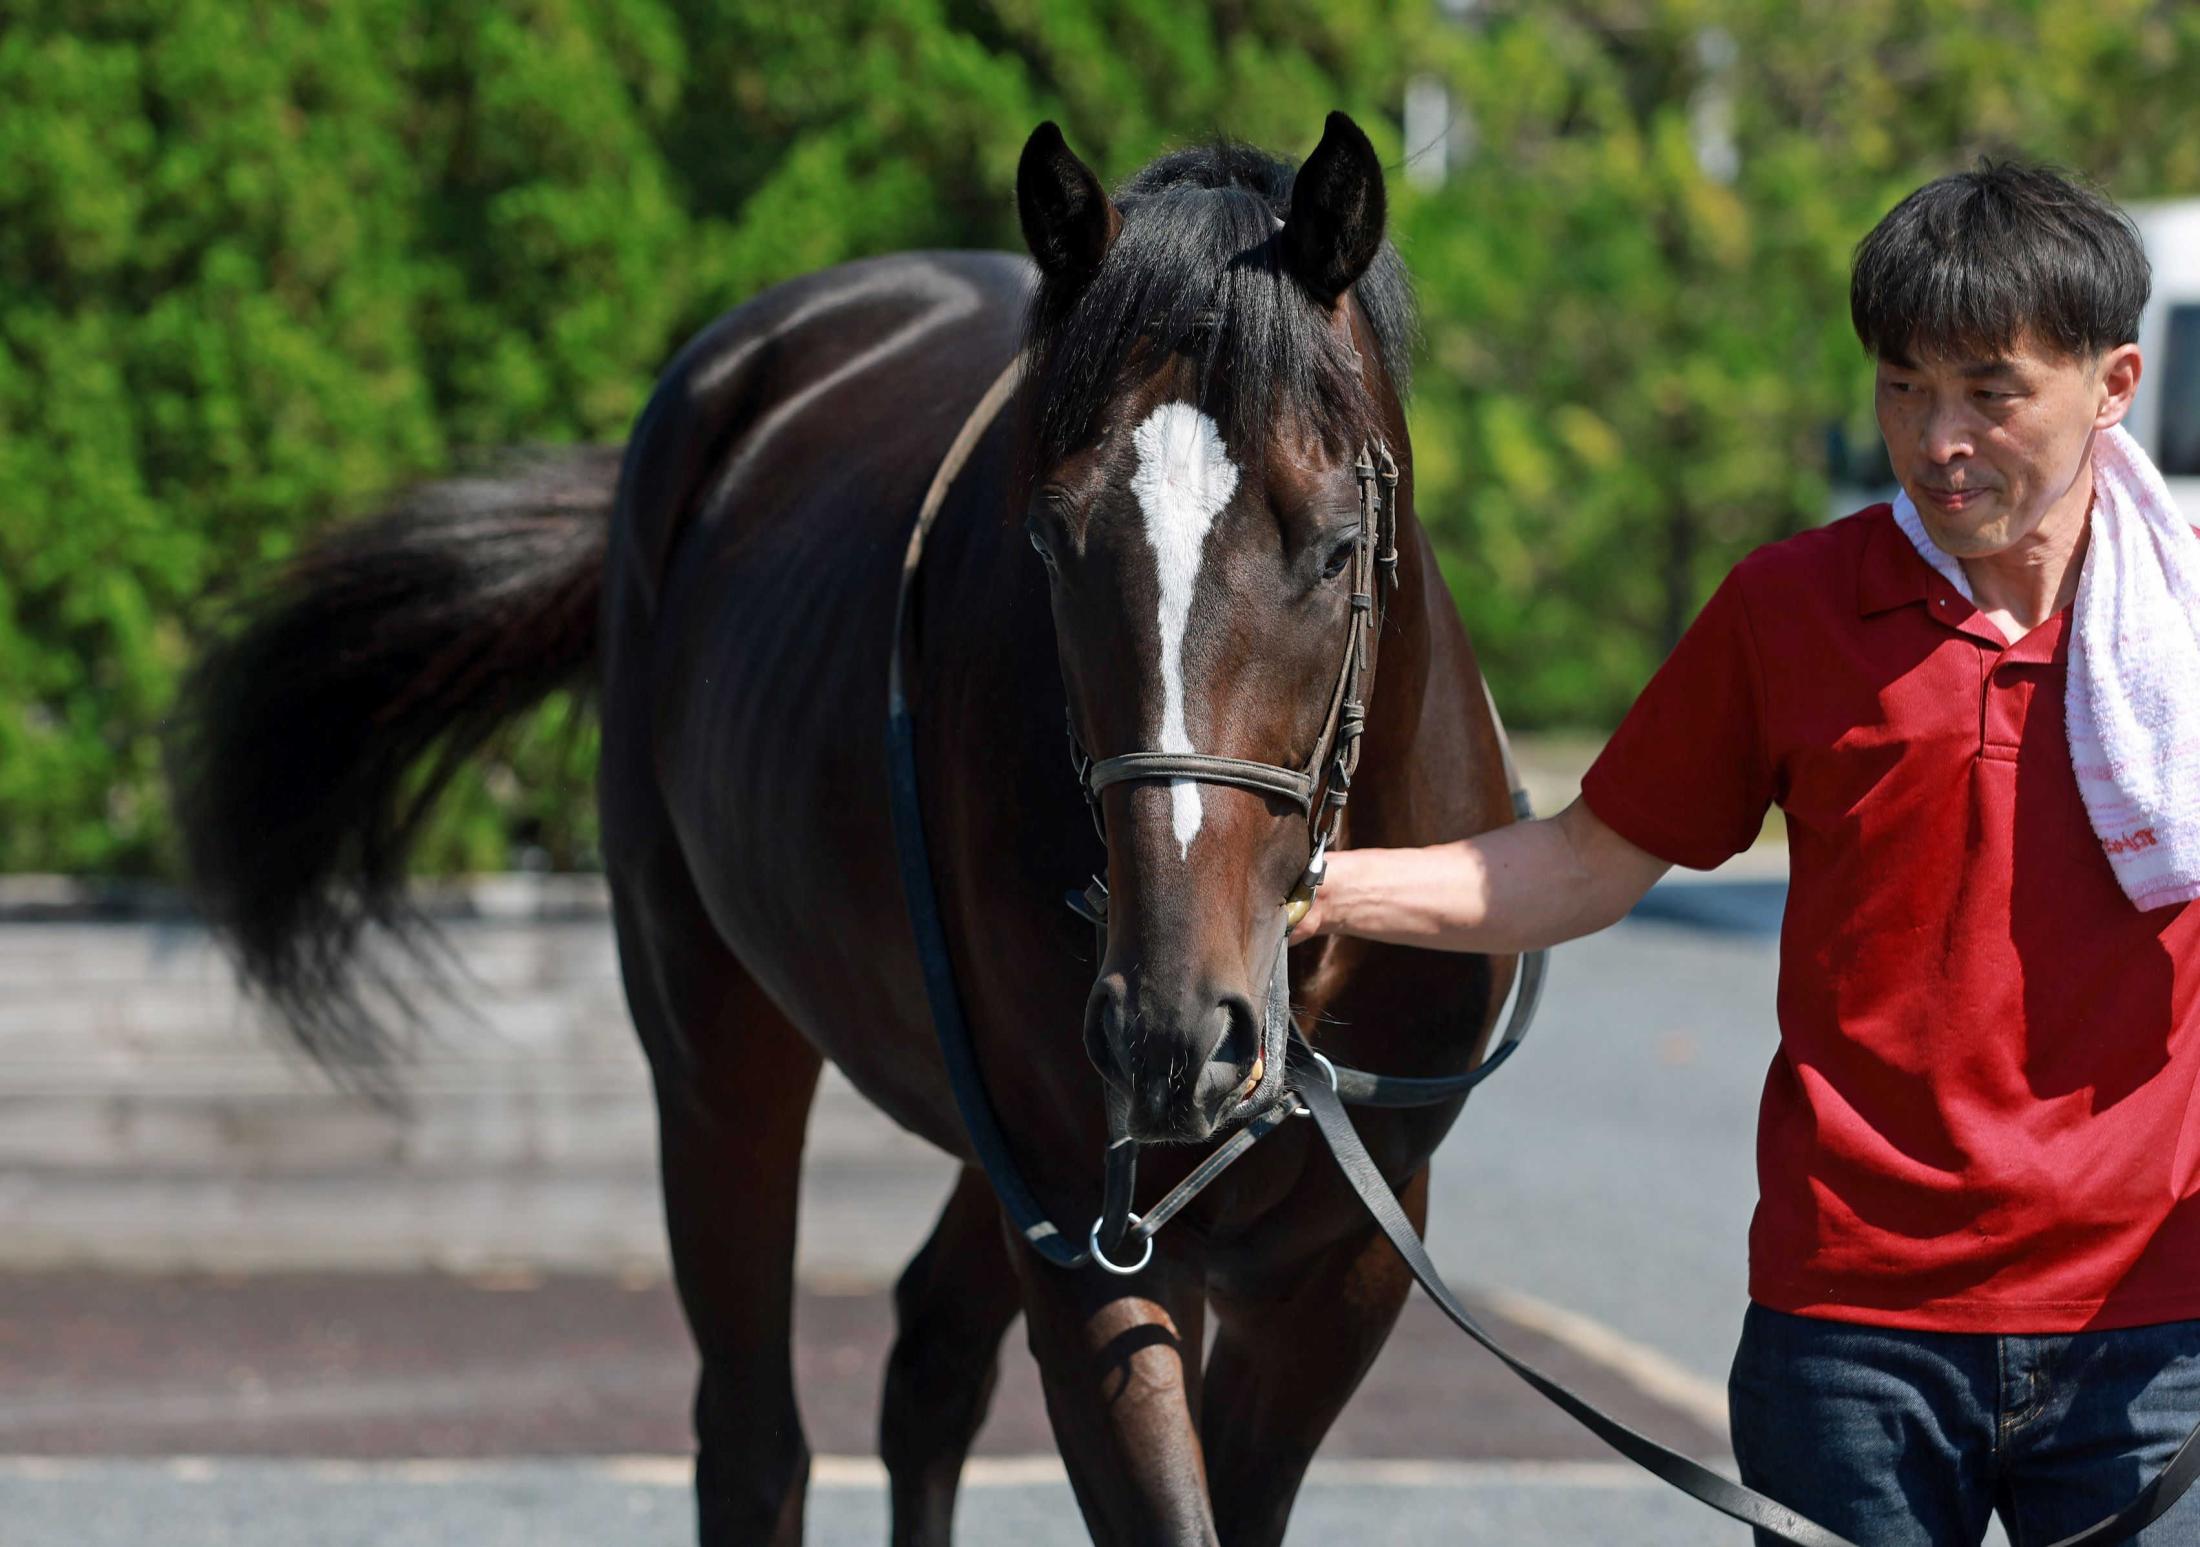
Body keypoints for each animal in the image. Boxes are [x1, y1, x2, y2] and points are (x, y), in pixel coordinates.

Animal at [171, 112, 1522, 1547]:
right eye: (1051, 538)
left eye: (1334, 546)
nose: (1171, 1032)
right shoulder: (1094, 1232)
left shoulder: (1344, 1255)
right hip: (717, 1040)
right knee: (753, 1442)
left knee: (928, 1361)